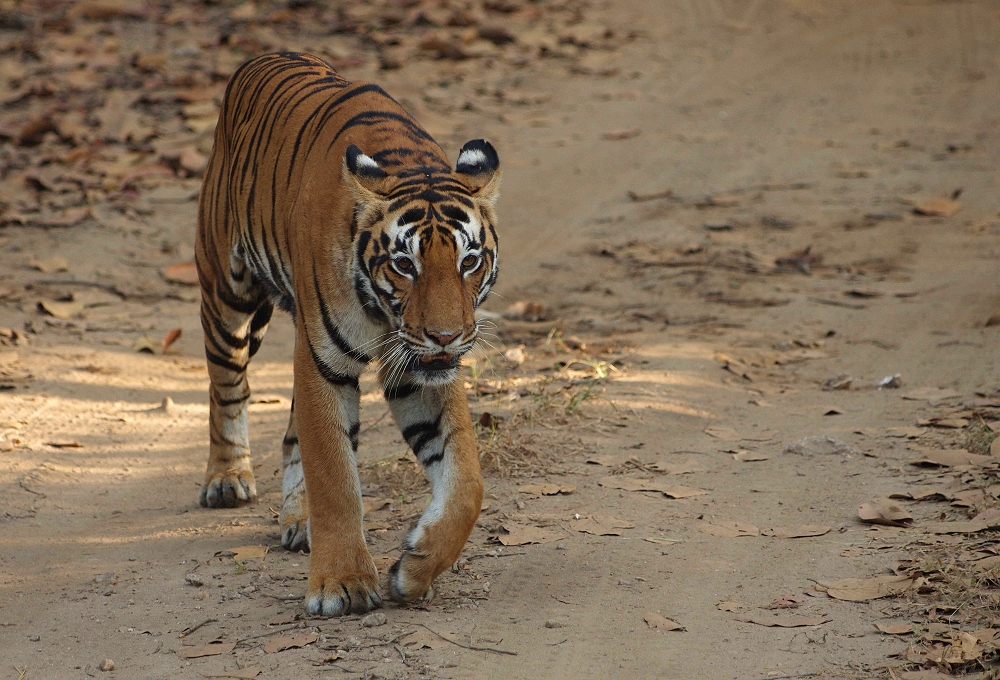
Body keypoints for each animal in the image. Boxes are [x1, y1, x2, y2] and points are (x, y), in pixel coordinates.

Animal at [196, 53, 504, 616]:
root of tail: (261, 57)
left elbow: (467, 482)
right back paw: (227, 479)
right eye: (404, 265)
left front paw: (414, 569)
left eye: (469, 261)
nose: (446, 336)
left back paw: (299, 520)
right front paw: (341, 584)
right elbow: (335, 475)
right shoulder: (323, 362)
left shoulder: (420, 370)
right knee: (228, 385)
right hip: (228, 292)